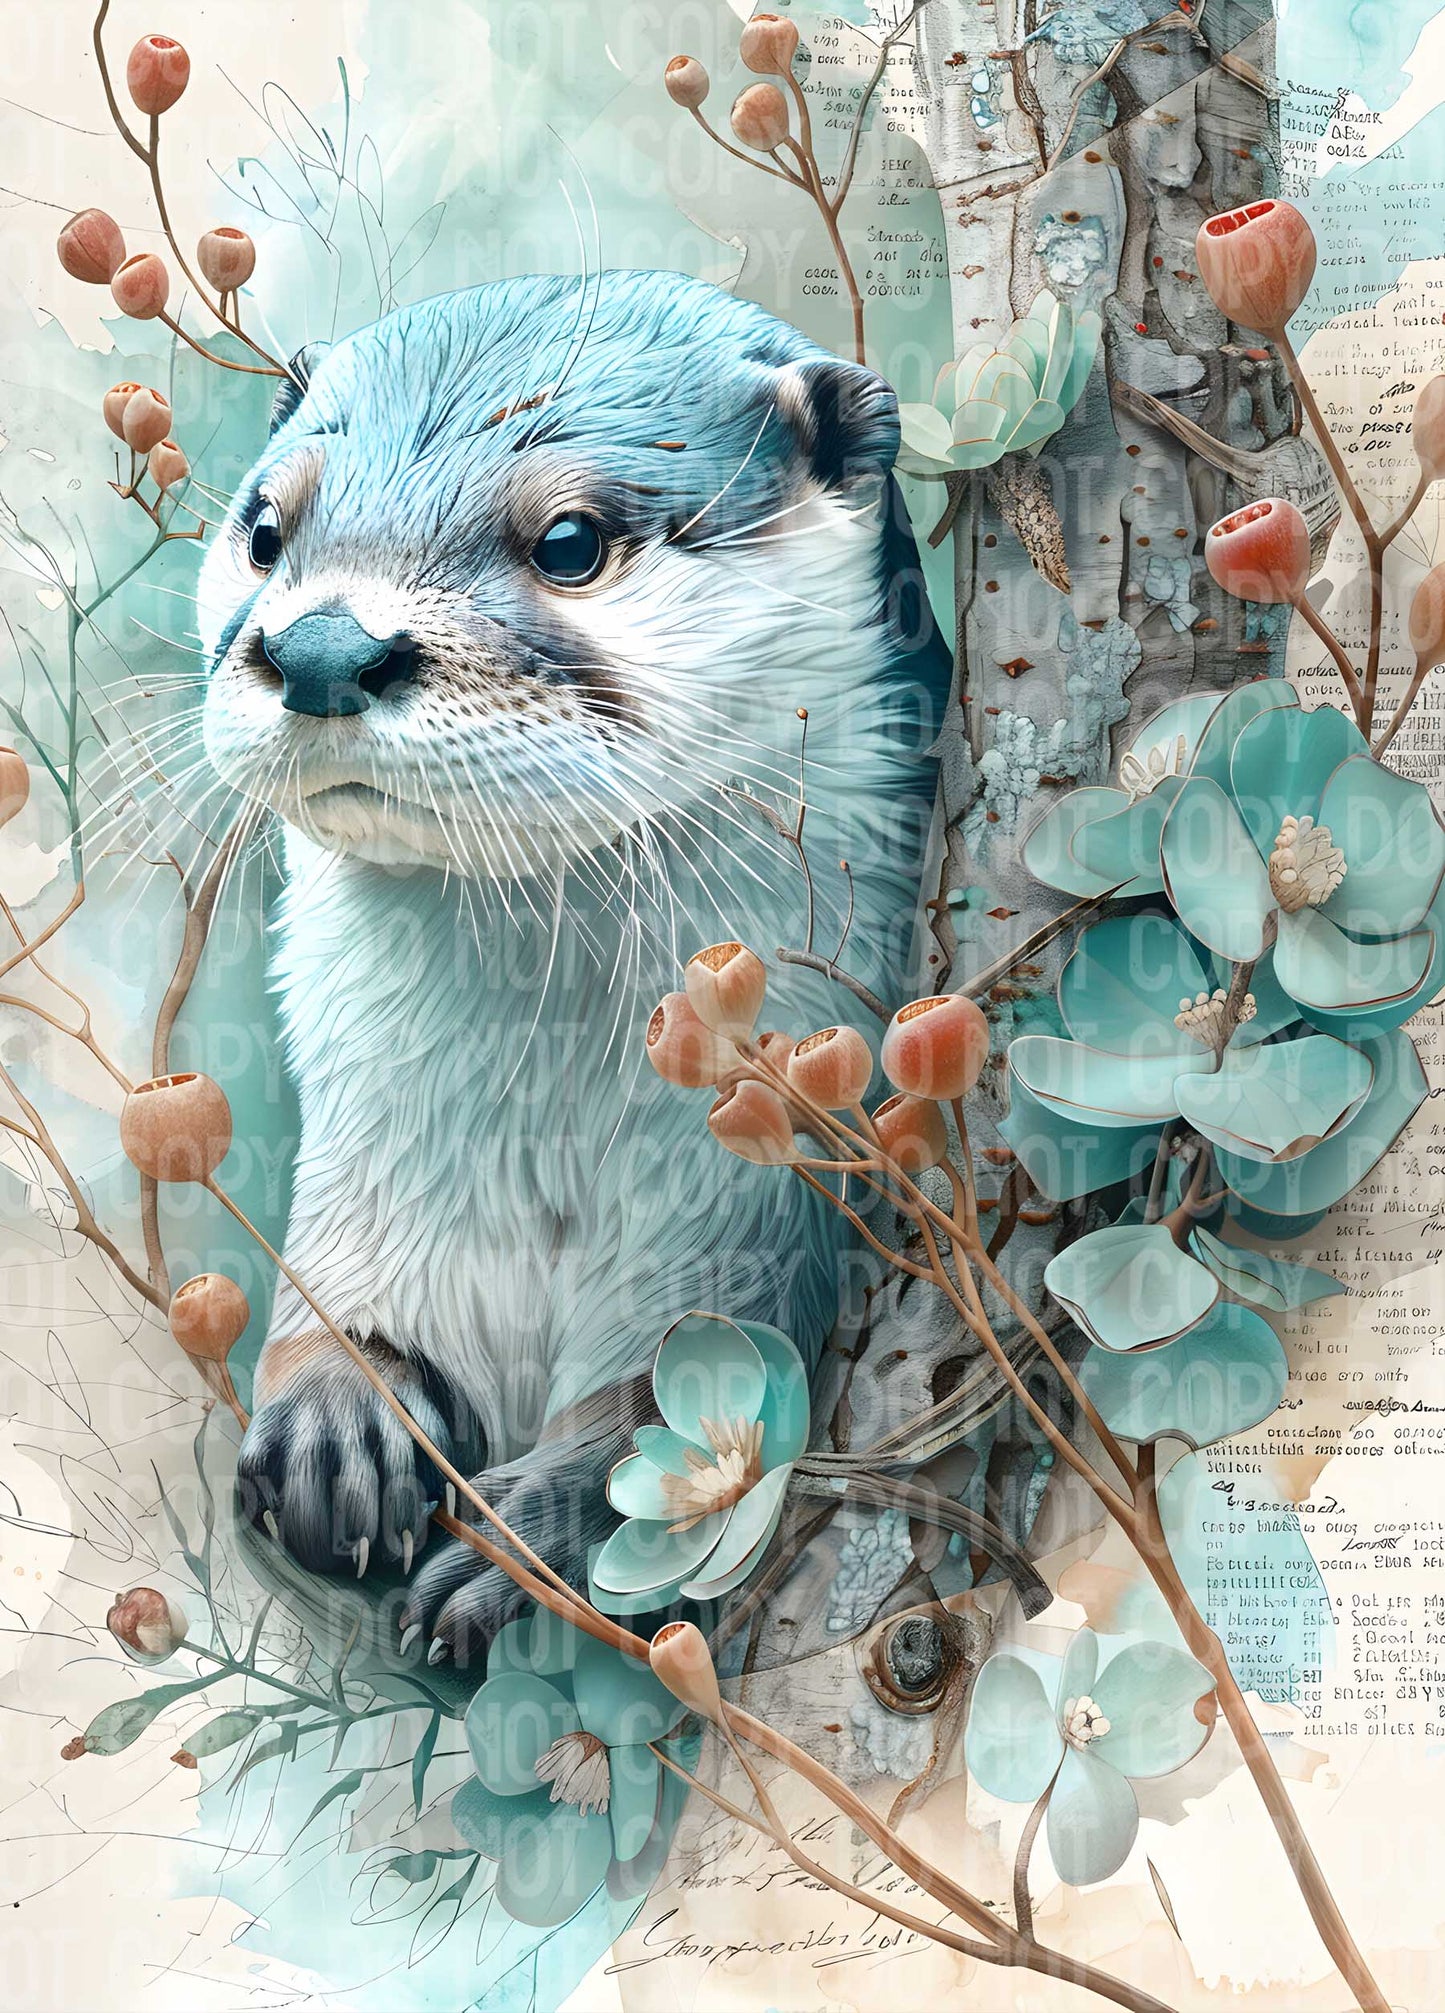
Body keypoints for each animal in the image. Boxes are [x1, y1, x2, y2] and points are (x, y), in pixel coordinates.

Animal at [199, 270, 948, 1664]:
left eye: (567, 542)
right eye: (267, 529)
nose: (323, 649)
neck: (545, 1105)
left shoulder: (747, 1209)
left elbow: (677, 1409)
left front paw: (529, 1541)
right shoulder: (372, 1151)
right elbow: (346, 1305)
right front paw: (340, 1419)